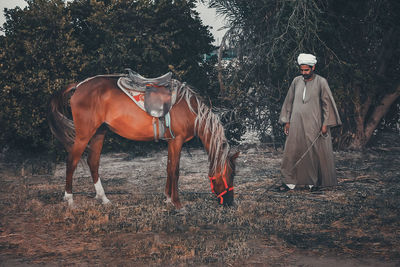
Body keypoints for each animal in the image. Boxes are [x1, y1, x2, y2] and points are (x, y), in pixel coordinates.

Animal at [48, 74, 239, 210]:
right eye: (230, 175)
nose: (229, 202)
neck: (189, 109)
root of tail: (79, 85)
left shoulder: (171, 142)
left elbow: (169, 168)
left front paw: (167, 199)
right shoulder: (177, 141)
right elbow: (175, 171)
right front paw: (177, 203)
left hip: (98, 133)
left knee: (93, 162)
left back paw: (104, 199)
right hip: (84, 135)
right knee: (72, 161)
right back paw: (70, 199)